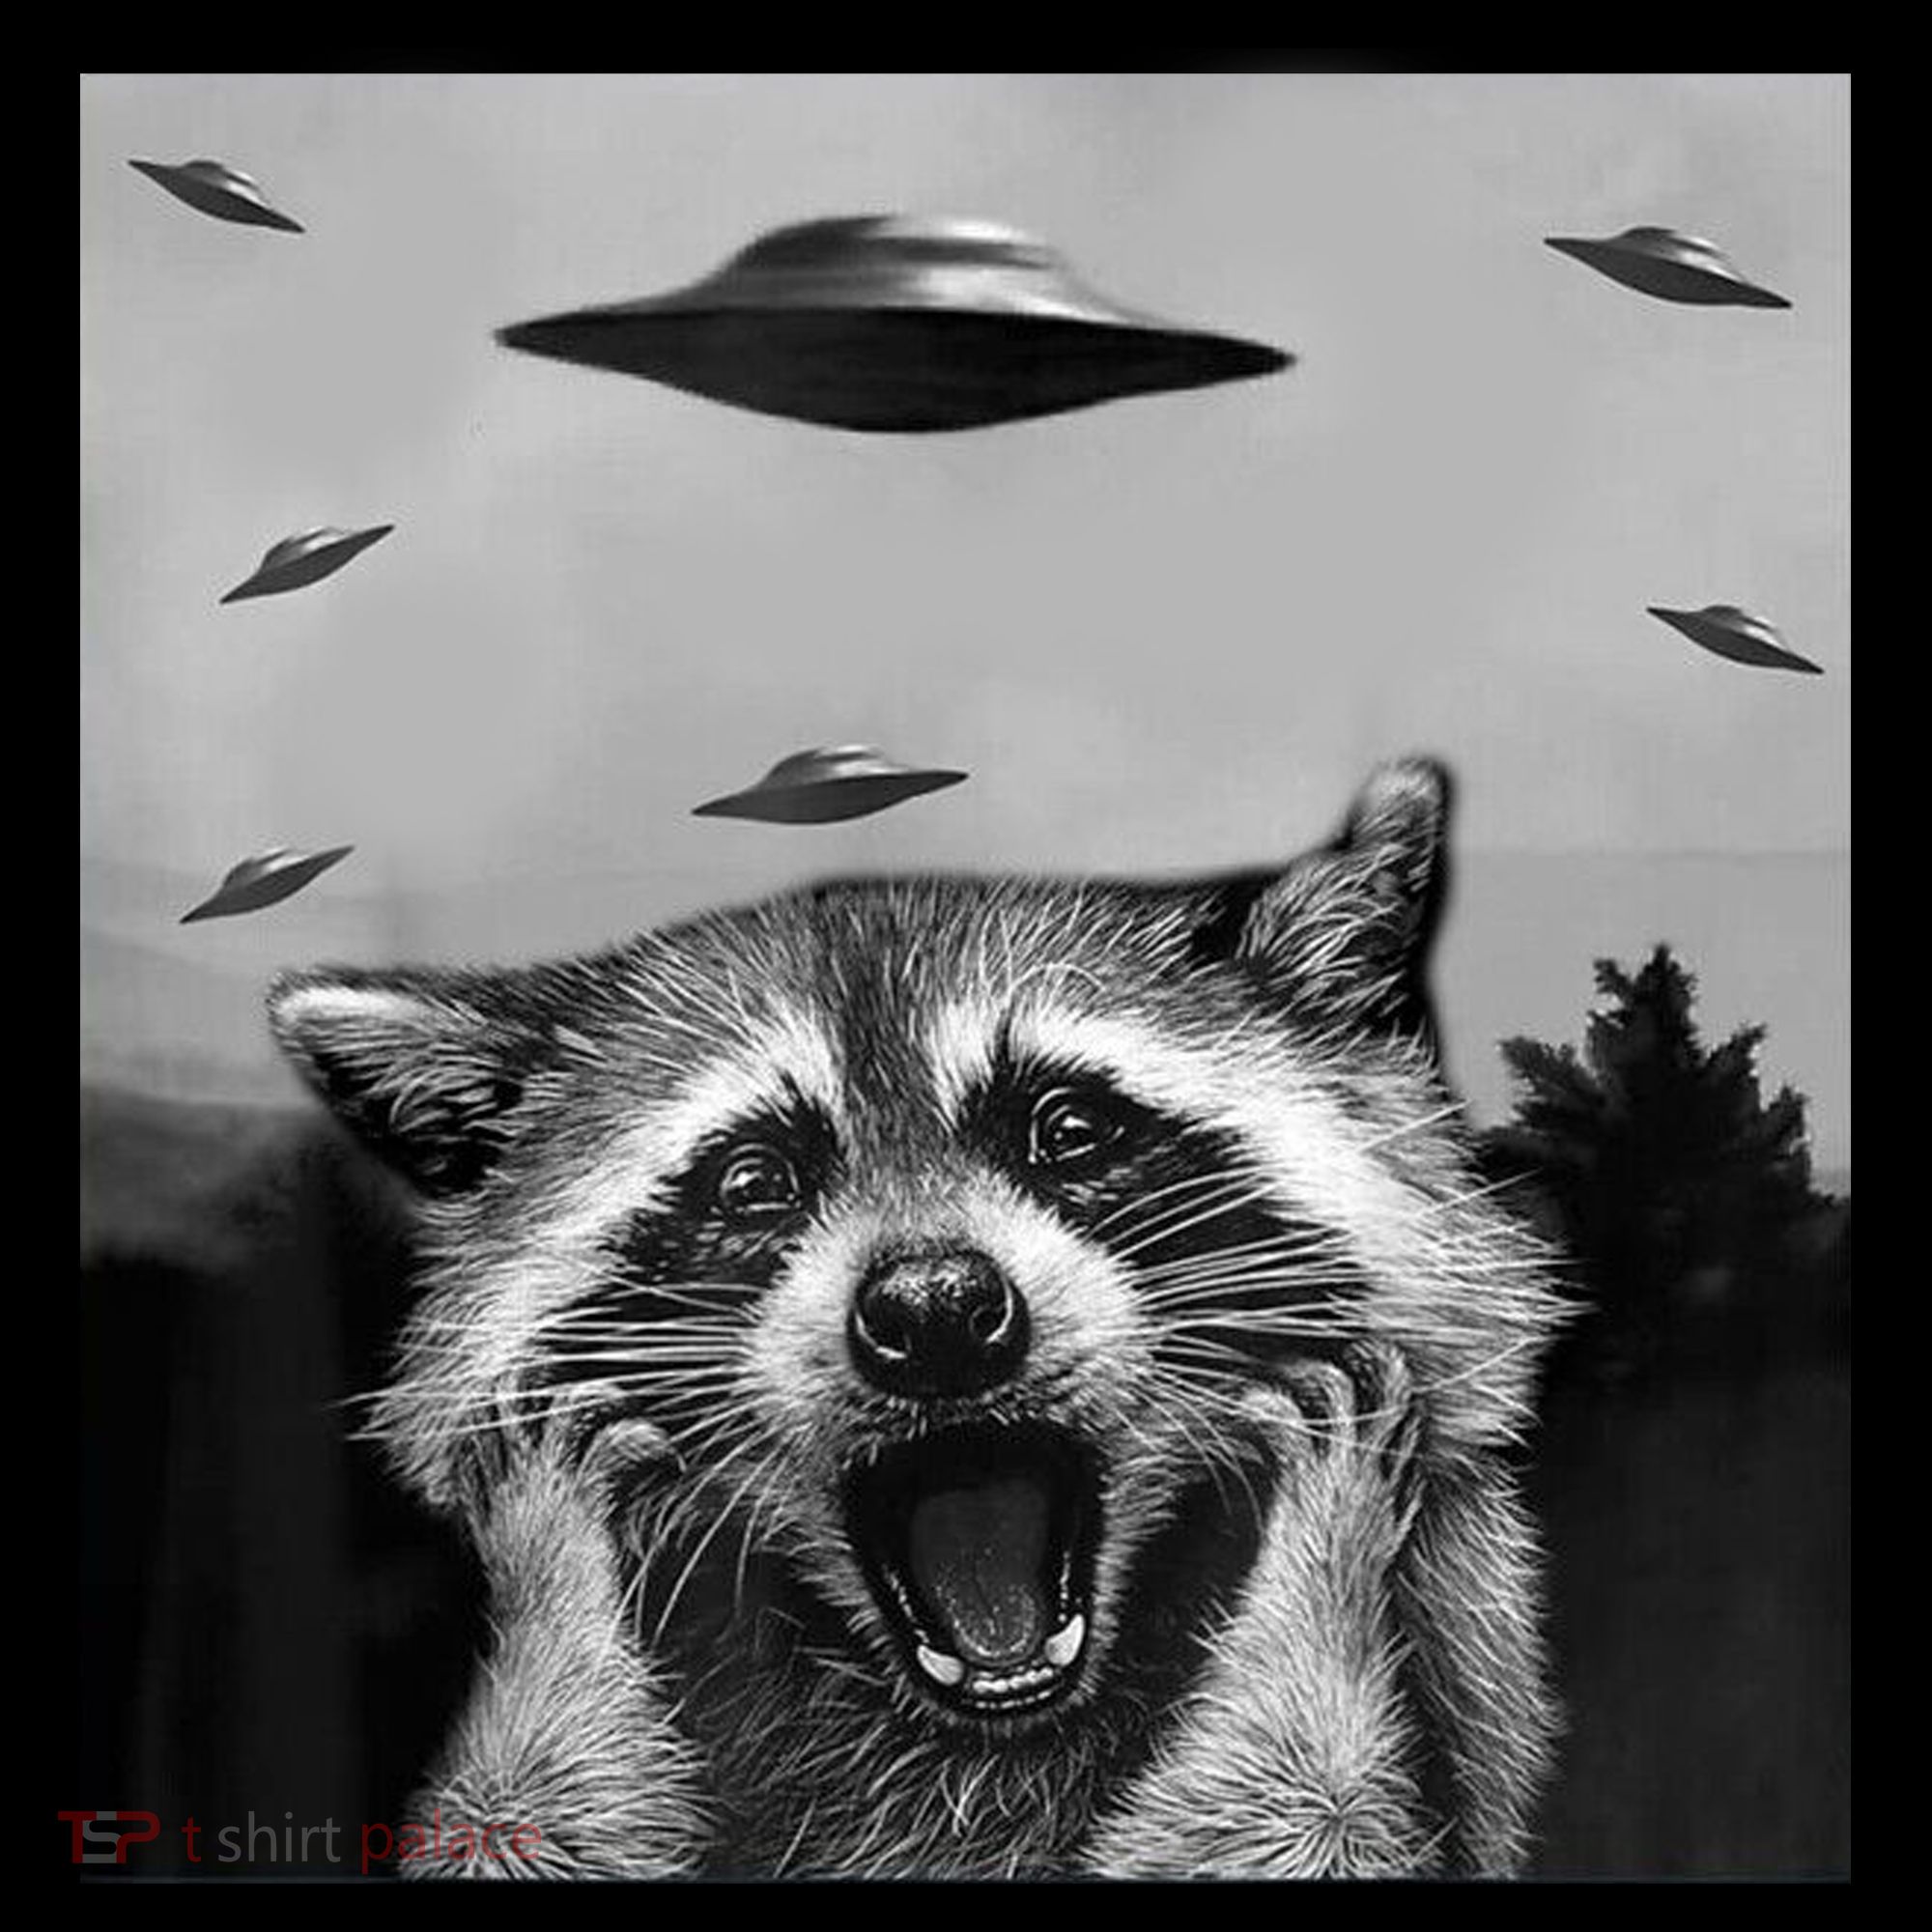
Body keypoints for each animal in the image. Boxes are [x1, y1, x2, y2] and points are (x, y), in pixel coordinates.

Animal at [268, 756, 1565, 1879]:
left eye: (1067, 1128)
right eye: (754, 1180)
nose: (935, 1307)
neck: (985, 1729)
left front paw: (1318, 1556)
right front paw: (551, 1576)